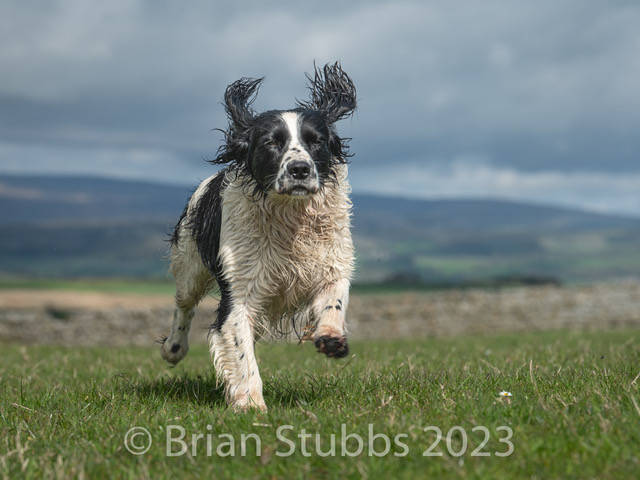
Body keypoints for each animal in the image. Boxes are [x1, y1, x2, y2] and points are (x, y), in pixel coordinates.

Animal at [160, 62, 358, 410]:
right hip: (189, 266)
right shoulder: (240, 292)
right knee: (183, 305)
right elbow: (239, 348)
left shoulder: (331, 262)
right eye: (271, 143)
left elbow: (333, 298)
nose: (299, 169)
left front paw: (331, 337)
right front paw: (251, 405)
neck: (290, 218)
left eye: (316, 141)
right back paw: (173, 348)